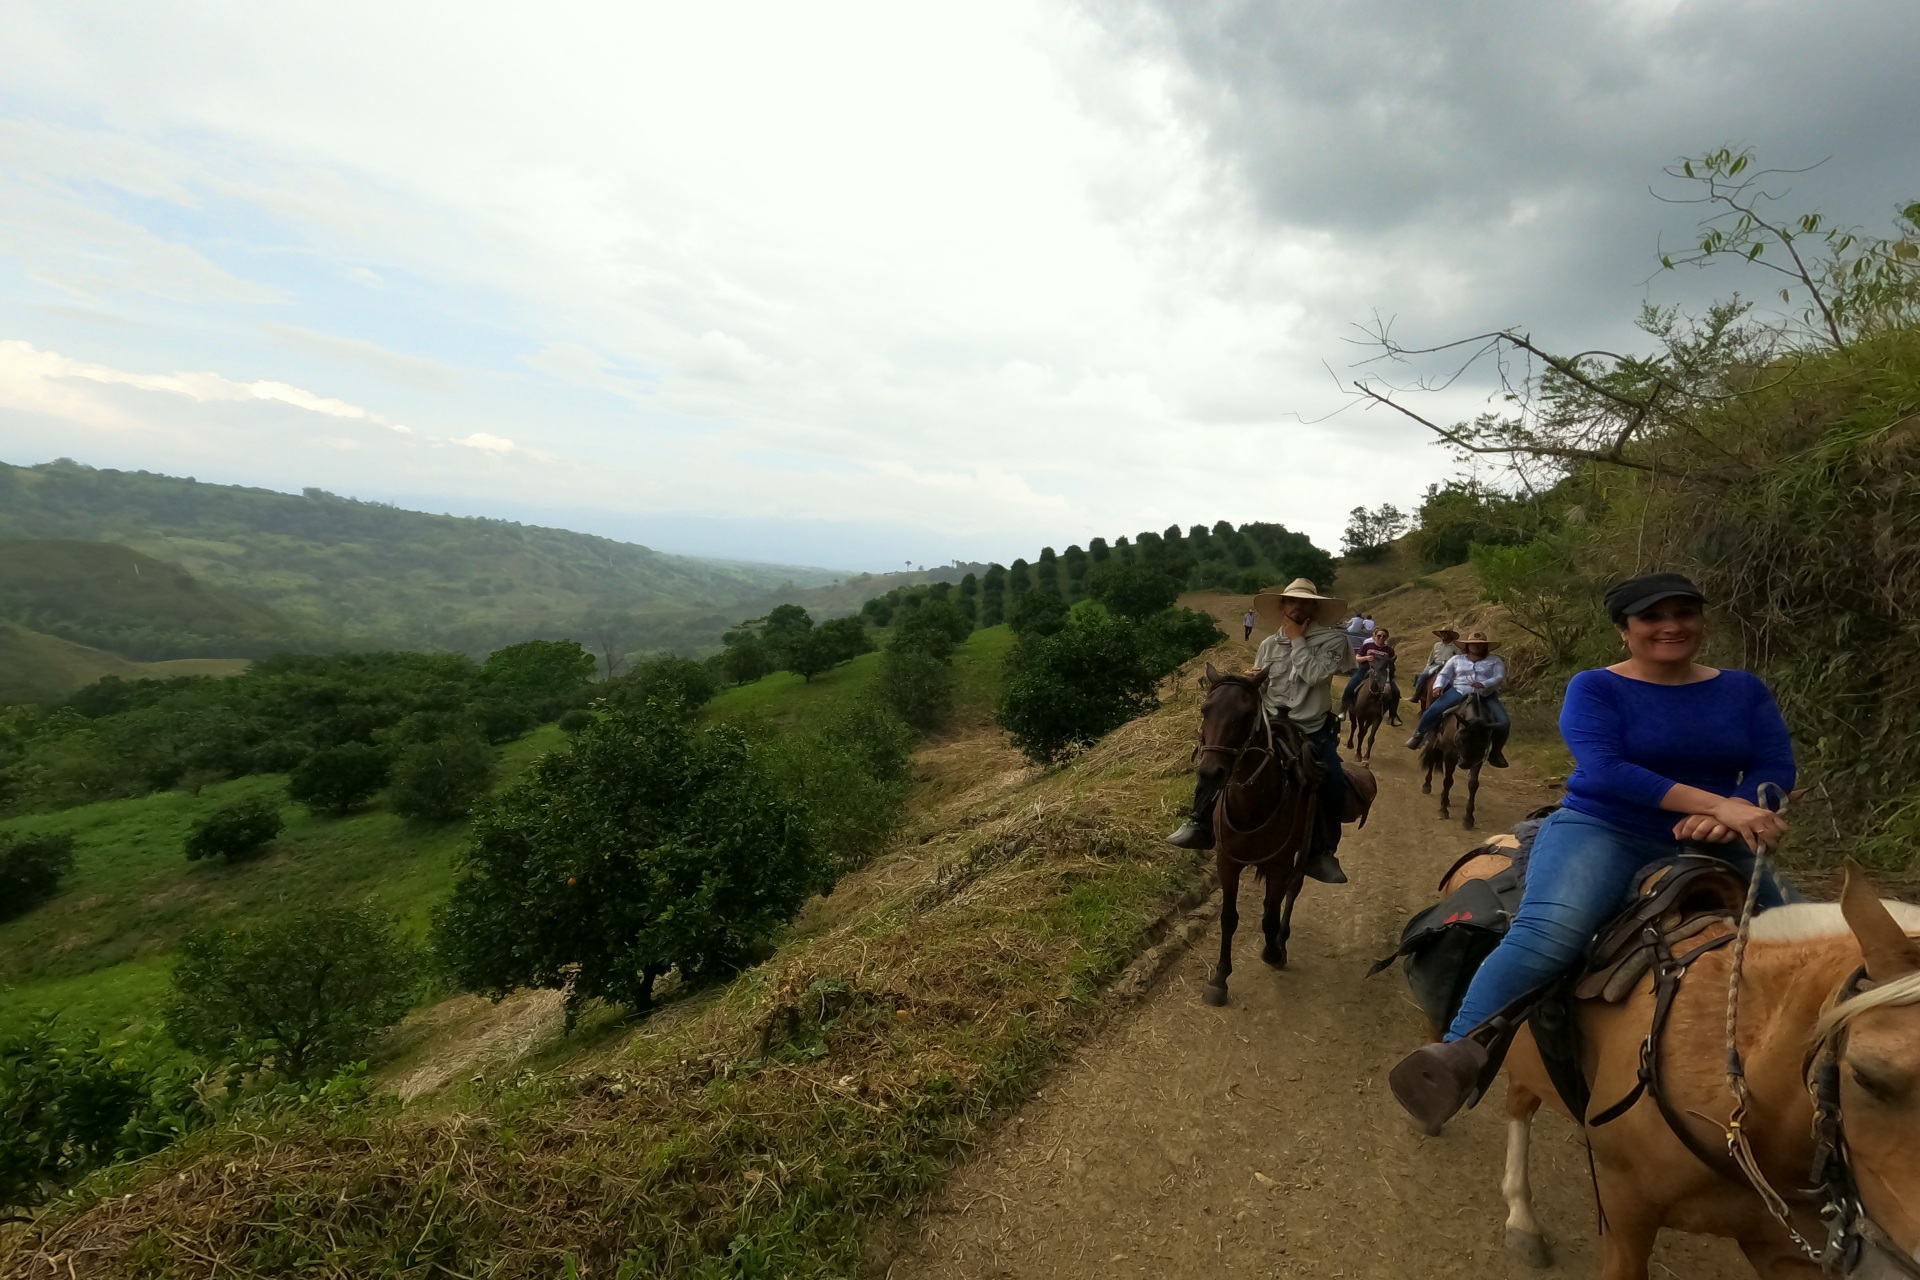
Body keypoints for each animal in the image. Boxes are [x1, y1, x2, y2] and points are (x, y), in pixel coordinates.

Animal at [1190, 667, 1374, 1005]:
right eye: (1205, 710)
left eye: (1246, 714)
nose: (1210, 774)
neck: (1253, 805)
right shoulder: (1227, 862)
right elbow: (1229, 917)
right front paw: (1220, 978)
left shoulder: (1279, 864)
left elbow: (1269, 912)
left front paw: (1272, 951)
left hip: (1301, 855)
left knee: (1292, 890)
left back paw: (1281, 940)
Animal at [1420, 702, 1489, 832]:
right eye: (1461, 740)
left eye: (1482, 744)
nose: (1466, 764)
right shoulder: (1449, 755)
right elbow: (1448, 781)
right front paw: (1443, 810)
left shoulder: (1477, 760)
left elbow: (1473, 785)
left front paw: (1468, 819)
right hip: (1435, 746)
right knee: (1431, 762)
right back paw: (1427, 786)